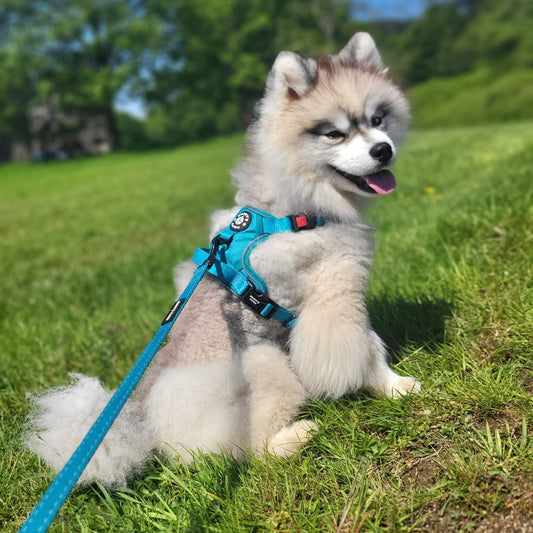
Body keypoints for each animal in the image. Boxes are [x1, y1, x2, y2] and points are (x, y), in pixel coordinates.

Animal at [25, 32, 420, 487]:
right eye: (334, 134)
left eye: (378, 119)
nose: (383, 150)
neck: (295, 209)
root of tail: (140, 423)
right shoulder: (334, 300)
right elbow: (366, 349)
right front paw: (392, 387)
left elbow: (371, 344)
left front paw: (396, 386)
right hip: (266, 364)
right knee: (256, 453)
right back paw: (297, 436)